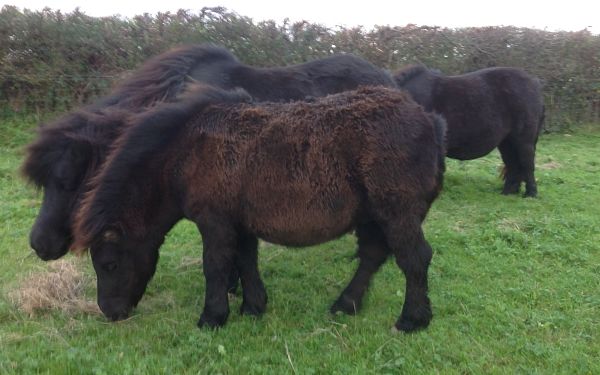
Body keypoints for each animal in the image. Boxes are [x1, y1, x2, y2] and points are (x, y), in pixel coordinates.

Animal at [71, 85, 446, 332]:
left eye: (109, 264)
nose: (110, 312)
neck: (188, 151)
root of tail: (428, 120)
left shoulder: (215, 221)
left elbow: (216, 266)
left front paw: (212, 317)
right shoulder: (241, 222)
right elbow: (245, 261)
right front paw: (253, 307)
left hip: (397, 212)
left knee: (414, 259)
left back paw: (412, 319)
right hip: (372, 216)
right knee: (372, 256)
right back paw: (345, 305)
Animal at [394, 65, 544, 198]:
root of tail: (534, 83)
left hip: (523, 141)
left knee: (526, 163)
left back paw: (531, 194)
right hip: (507, 142)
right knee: (513, 165)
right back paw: (508, 192)